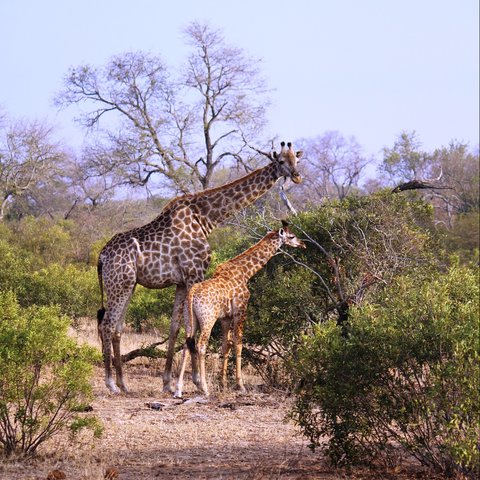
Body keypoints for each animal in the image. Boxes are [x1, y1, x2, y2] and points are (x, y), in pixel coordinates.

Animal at [174, 221, 306, 398]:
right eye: (291, 236)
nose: (302, 244)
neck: (245, 273)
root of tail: (192, 294)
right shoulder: (240, 311)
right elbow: (238, 344)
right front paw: (240, 385)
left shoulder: (225, 317)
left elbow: (225, 345)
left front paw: (223, 383)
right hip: (208, 319)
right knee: (201, 346)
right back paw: (204, 388)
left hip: (190, 319)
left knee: (186, 345)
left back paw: (178, 389)